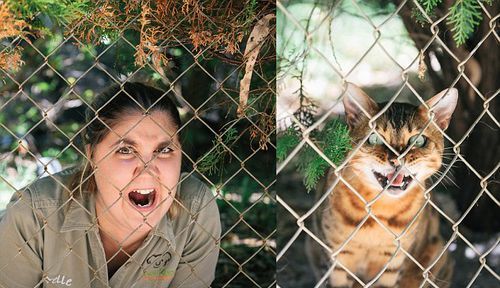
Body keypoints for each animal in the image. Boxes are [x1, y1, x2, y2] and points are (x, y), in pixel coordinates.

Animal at [308, 84, 458, 288]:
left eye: (418, 140)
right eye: (375, 138)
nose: (396, 160)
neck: (379, 214)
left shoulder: (392, 262)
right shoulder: (337, 260)